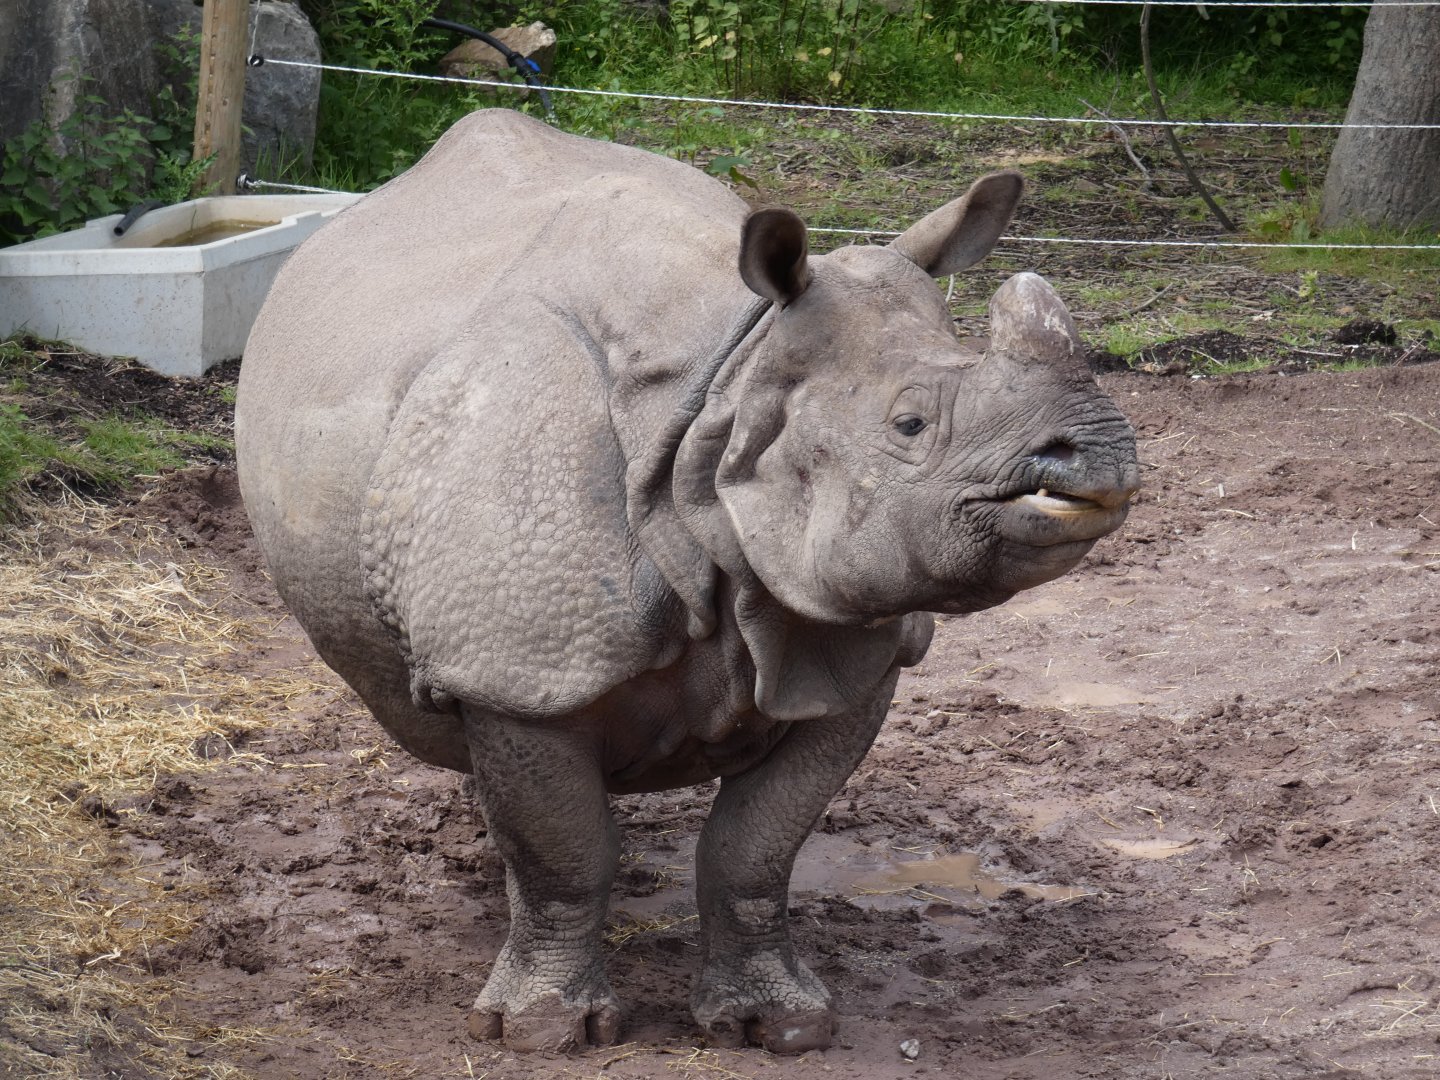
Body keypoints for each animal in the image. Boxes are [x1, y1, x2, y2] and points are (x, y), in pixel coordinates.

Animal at [236, 109, 1139, 1055]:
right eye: (910, 424)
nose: (1101, 452)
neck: (730, 397)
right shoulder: (521, 658)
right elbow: (563, 854)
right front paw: (546, 1032)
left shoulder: (849, 652)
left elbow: (755, 849)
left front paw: (781, 1026)